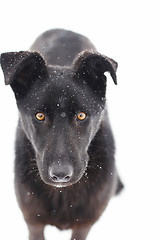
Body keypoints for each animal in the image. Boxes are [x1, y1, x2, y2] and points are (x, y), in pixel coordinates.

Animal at [0, 29, 123, 239]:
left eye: (81, 115)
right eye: (39, 115)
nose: (60, 175)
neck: (62, 194)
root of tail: (63, 30)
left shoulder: (84, 224)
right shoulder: (34, 223)